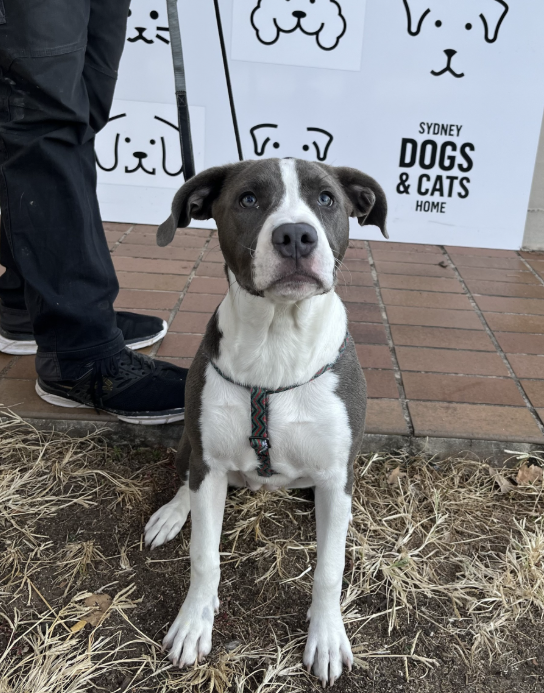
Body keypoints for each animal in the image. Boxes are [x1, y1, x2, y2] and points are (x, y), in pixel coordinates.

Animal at [144, 157, 387, 687]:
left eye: (326, 198)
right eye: (249, 199)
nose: (296, 235)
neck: (278, 341)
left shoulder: (336, 475)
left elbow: (330, 568)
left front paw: (326, 637)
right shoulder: (210, 463)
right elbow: (204, 556)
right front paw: (195, 621)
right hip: (191, 447)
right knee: (187, 481)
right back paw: (173, 512)